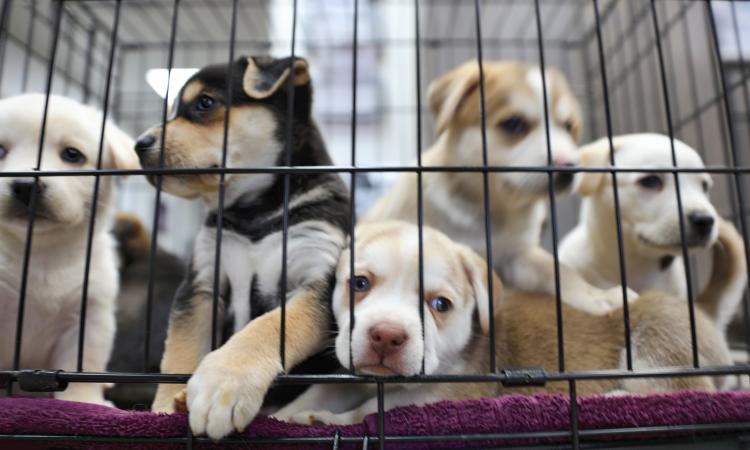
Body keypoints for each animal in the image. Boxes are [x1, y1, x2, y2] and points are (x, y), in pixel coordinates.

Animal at [0, 94, 140, 404]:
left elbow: (84, 366)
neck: (41, 253)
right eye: (0, 149)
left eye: (72, 155)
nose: (25, 186)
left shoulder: (90, 316)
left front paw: (84, 400)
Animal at [134, 54, 352, 438]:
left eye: (205, 103)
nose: (139, 145)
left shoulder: (317, 278)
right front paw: (163, 408)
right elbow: (179, 352)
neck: (255, 212)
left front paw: (224, 383)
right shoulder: (201, 283)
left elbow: (268, 325)